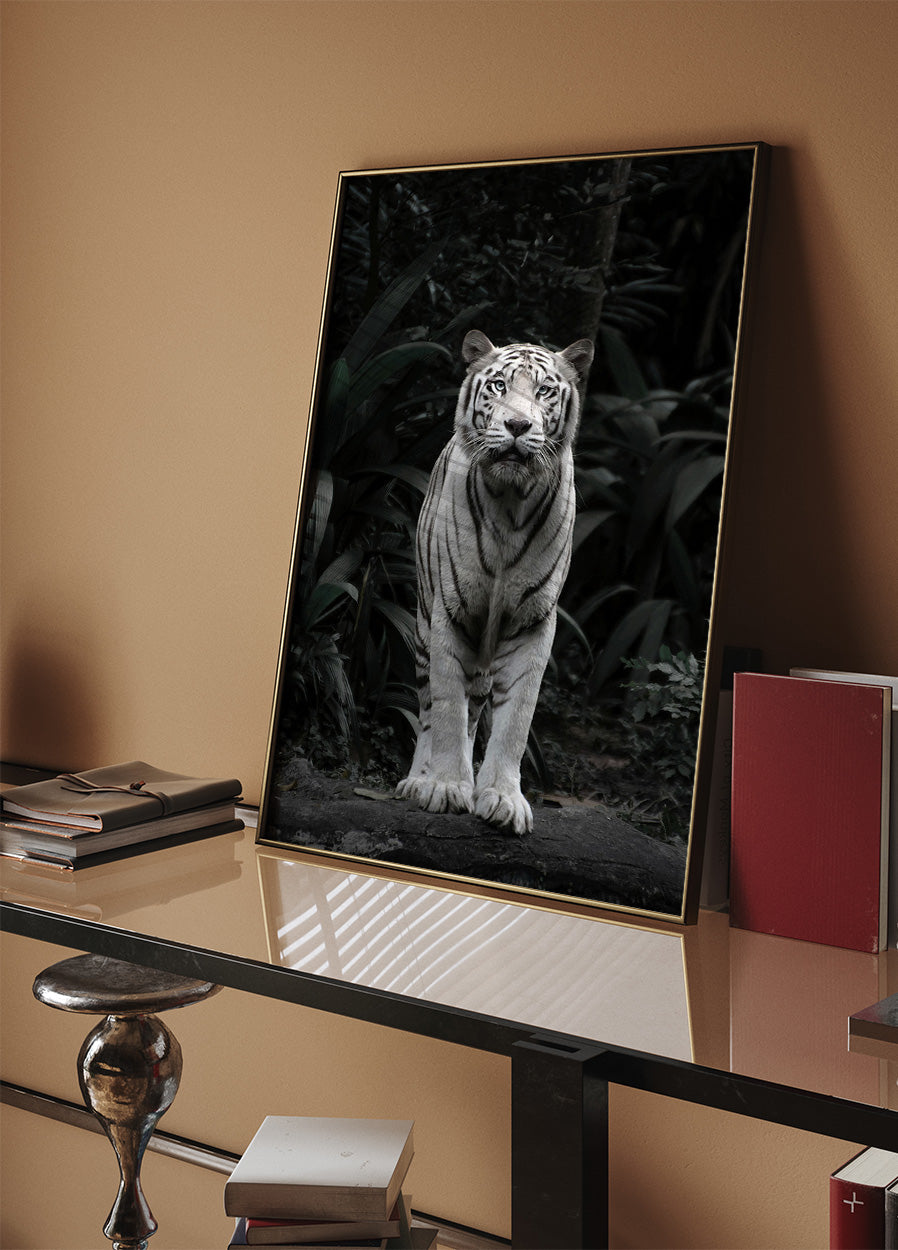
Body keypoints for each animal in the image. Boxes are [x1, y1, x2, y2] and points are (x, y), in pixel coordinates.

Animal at [395, 329, 594, 835]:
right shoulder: (450, 612)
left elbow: (514, 720)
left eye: (544, 392)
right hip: (422, 625)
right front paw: (445, 788)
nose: (518, 426)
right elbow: (447, 708)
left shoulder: (533, 623)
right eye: (500, 386)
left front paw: (502, 798)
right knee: (430, 709)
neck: (510, 500)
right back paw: (418, 780)